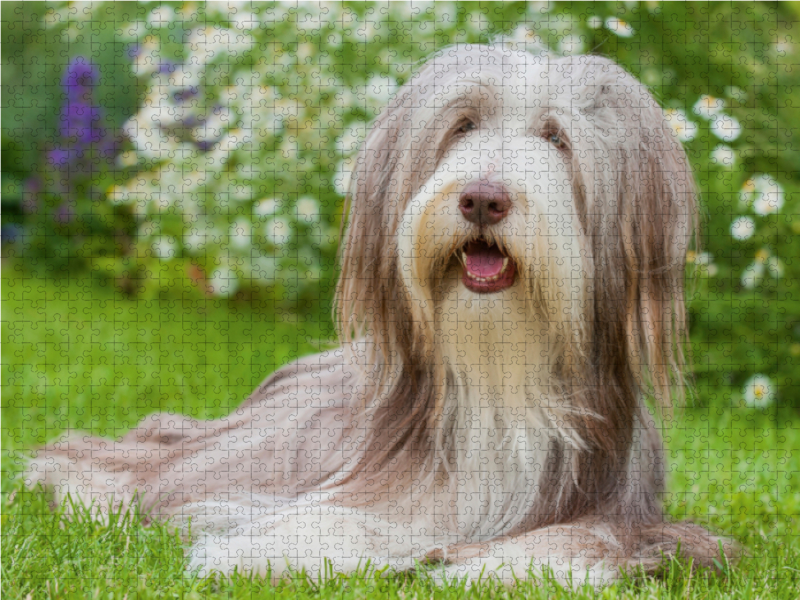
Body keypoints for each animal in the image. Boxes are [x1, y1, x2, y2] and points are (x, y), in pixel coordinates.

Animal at [31, 45, 736, 584]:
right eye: (462, 126)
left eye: (556, 137)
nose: (482, 198)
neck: (502, 380)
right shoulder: (364, 481)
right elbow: (338, 514)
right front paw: (256, 549)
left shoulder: (644, 524)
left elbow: (583, 541)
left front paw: (489, 566)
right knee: (131, 461)